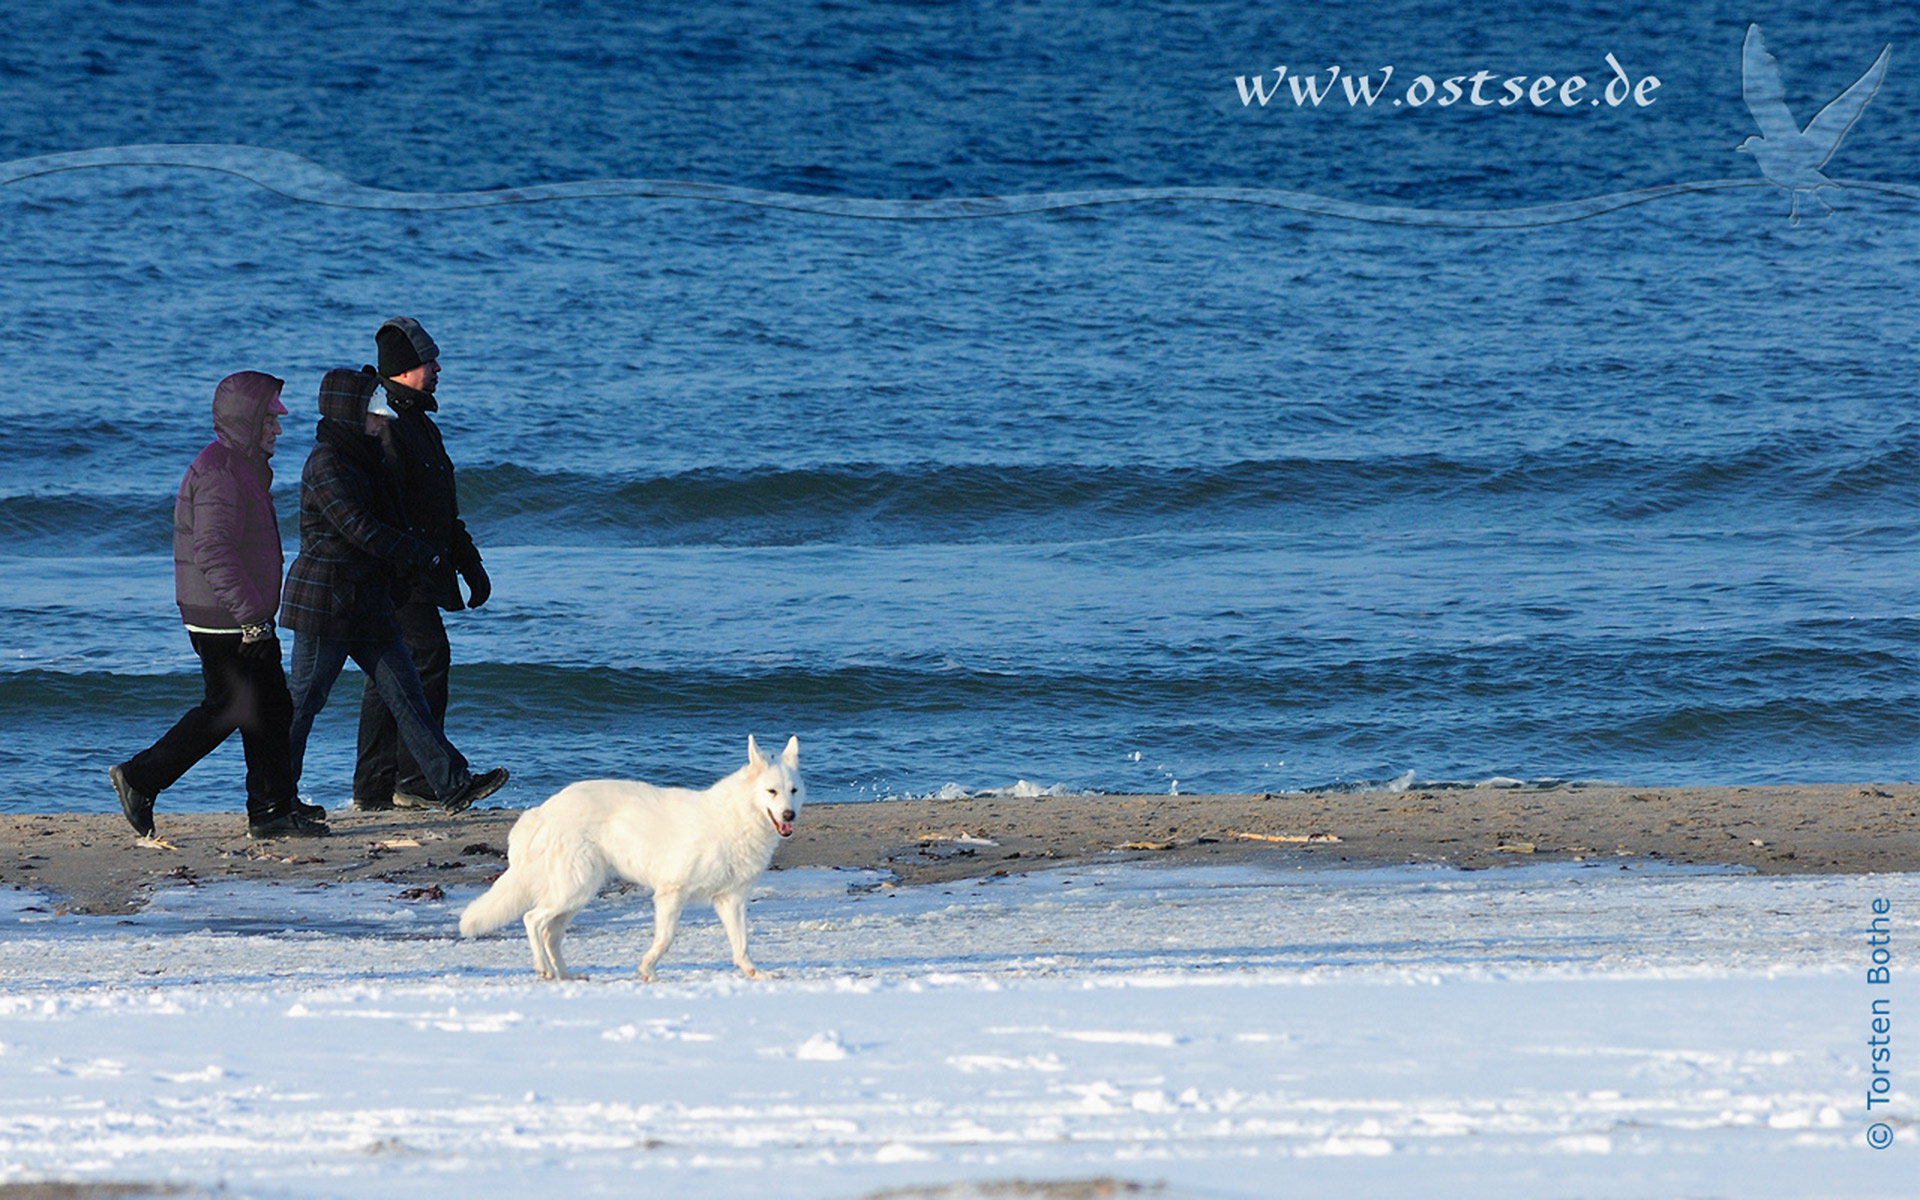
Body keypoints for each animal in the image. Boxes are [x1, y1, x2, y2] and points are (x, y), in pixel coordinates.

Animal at [462, 733, 802, 979]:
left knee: (550, 933)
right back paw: (544, 968)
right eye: (771, 791)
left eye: (794, 791)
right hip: (574, 889)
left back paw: (566, 975)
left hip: (576, 895)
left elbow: (741, 944)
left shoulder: (729, 900)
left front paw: (753, 973)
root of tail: (544, 809)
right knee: (532, 919)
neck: (735, 817)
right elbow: (665, 939)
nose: (790, 815)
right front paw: (647, 969)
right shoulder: (671, 894)